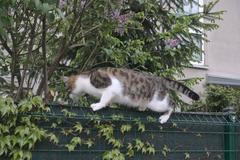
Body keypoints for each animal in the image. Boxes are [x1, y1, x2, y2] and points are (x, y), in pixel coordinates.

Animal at [62, 67, 199, 124]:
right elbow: (108, 100)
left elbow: (104, 98)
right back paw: (142, 107)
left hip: (157, 102)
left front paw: (98, 105)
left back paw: (165, 117)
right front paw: (108, 105)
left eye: (67, 90)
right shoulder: (112, 95)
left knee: (172, 104)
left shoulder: (110, 86)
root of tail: (159, 78)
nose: (68, 97)